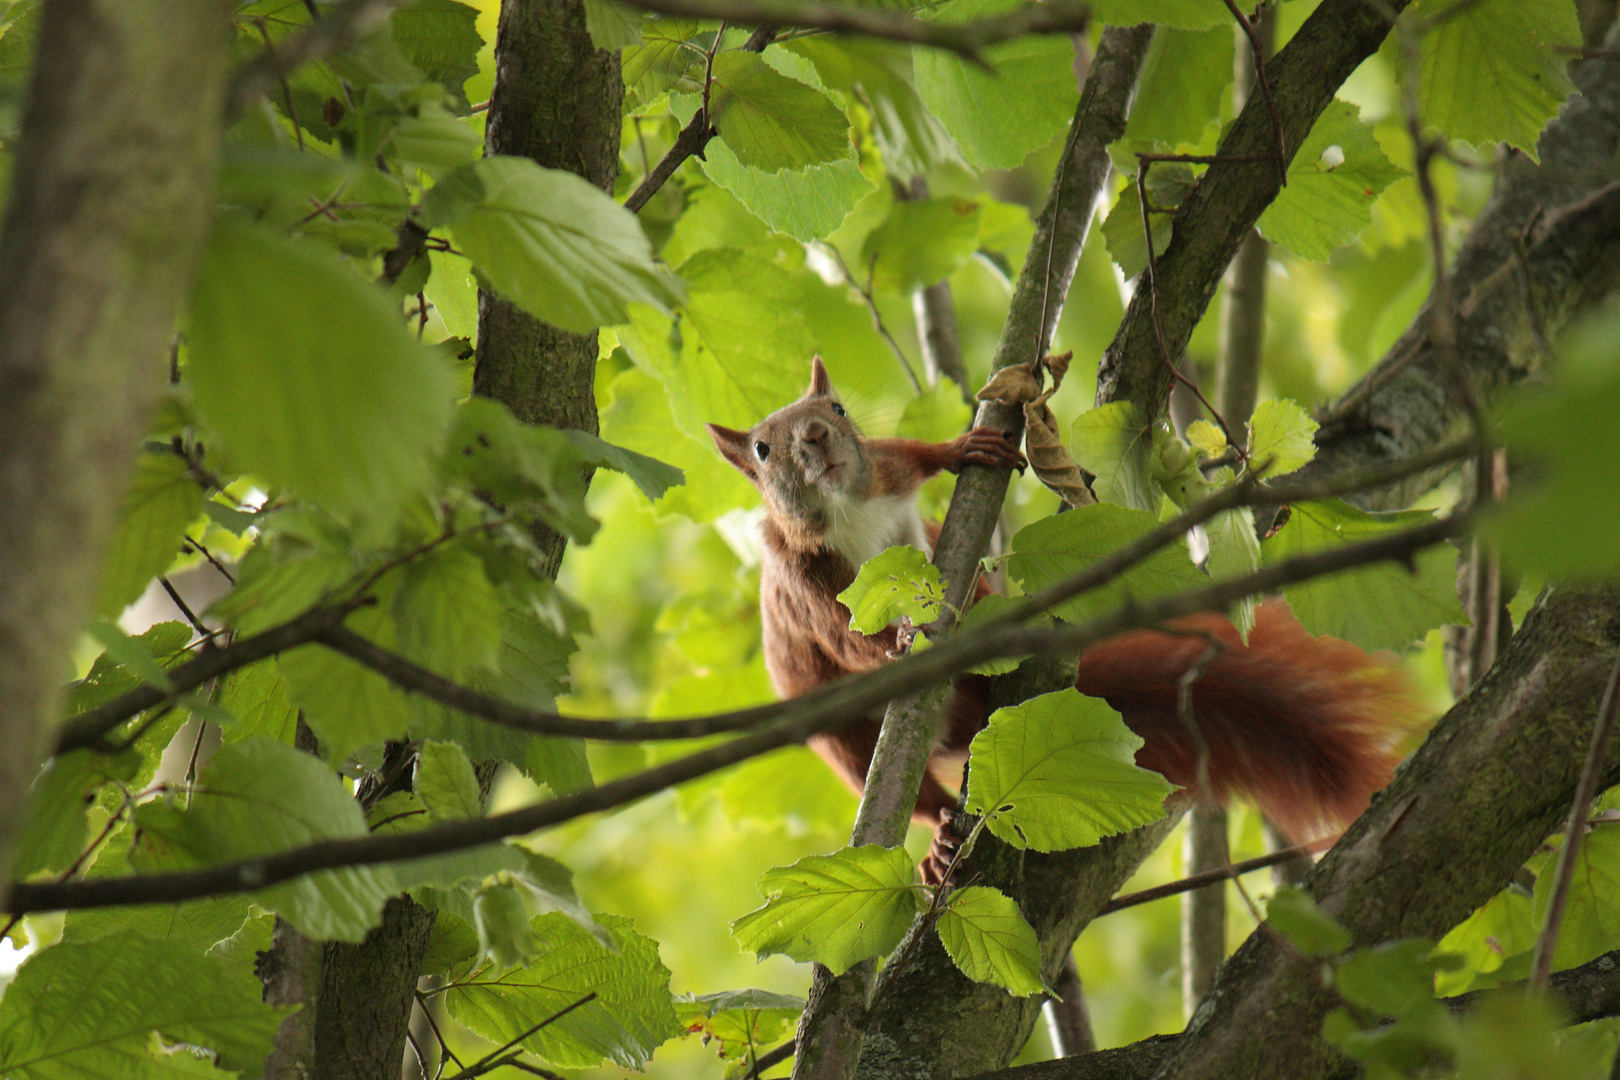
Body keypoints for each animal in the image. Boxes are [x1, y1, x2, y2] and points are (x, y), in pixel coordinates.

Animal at [709, 356, 1419, 880]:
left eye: (836, 410)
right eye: (763, 449)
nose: (815, 438)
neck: (845, 511)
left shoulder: (880, 471)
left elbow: (910, 454)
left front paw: (966, 447)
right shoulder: (804, 584)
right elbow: (847, 639)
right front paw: (900, 639)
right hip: (845, 743)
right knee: (903, 790)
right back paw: (938, 840)